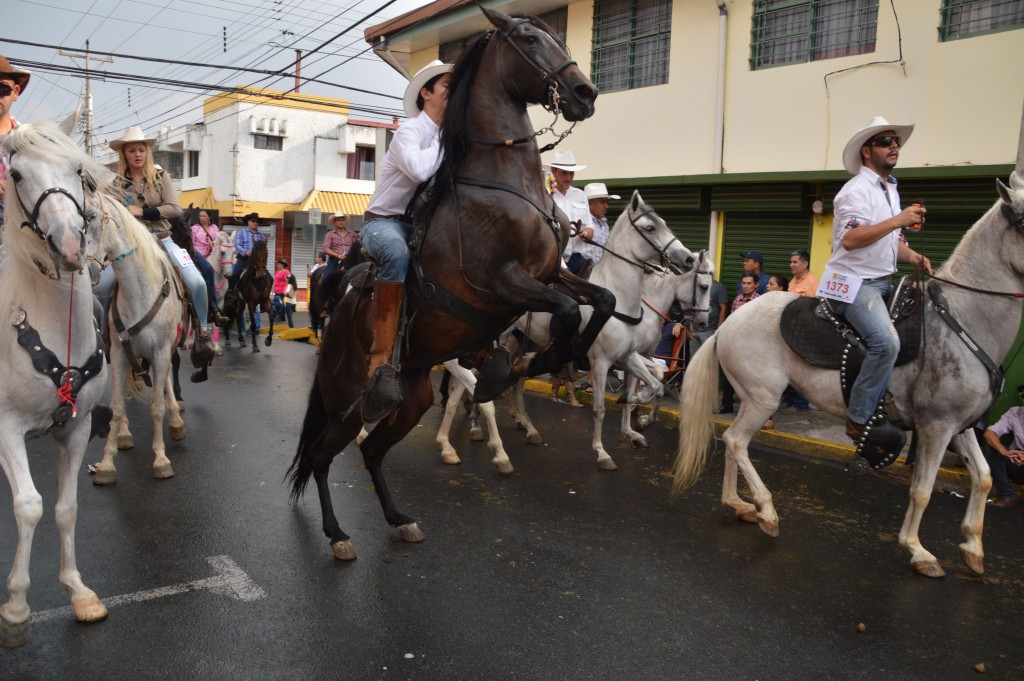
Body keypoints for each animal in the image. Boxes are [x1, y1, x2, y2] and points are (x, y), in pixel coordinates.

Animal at [90, 193, 188, 485]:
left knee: (165, 381)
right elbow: (117, 406)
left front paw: (161, 460)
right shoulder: (119, 352)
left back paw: (176, 422)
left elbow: (157, 406)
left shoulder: (161, 350)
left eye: (91, 217)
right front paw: (106, 464)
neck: (140, 292)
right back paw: (124, 435)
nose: (88, 271)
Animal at [284, 3, 692, 557]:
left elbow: (599, 301)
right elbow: (568, 314)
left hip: (412, 396)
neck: (503, 182)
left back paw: (399, 518)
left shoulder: (551, 275)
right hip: (348, 398)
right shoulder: (500, 282)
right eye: (529, 39)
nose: (585, 93)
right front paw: (533, 365)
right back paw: (337, 533)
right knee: (324, 456)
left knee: (372, 453)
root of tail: (337, 320)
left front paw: (544, 362)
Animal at [671, 173, 1024, 577]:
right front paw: (918, 550)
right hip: (763, 398)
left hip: (751, 398)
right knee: (736, 441)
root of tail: (727, 324)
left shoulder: (959, 425)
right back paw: (767, 510)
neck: (963, 318)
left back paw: (740, 505)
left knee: (731, 442)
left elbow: (983, 478)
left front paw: (973, 547)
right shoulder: (936, 426)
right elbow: (922, 490)